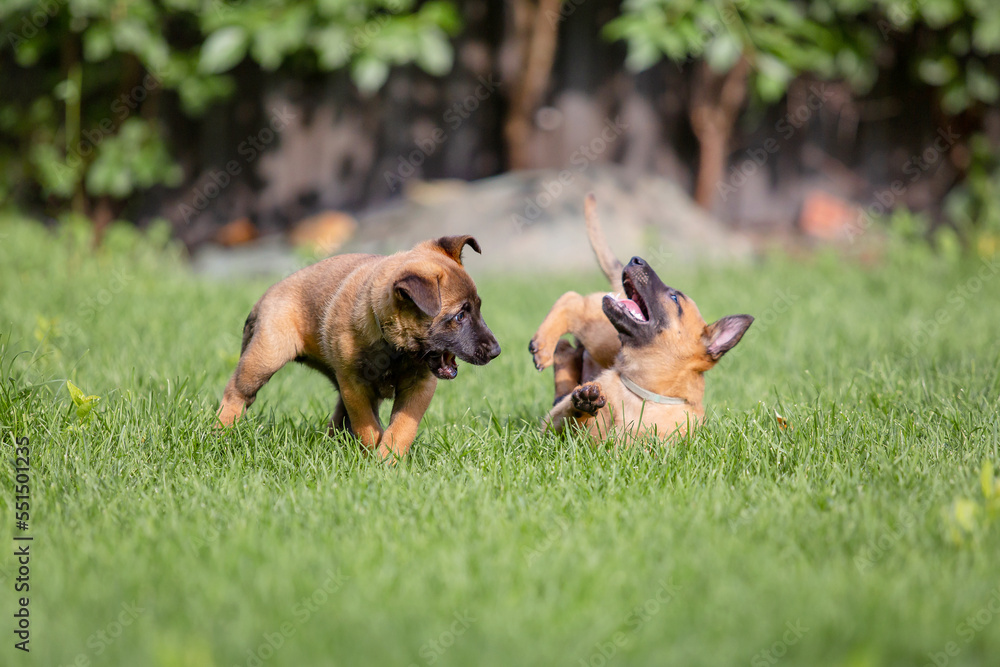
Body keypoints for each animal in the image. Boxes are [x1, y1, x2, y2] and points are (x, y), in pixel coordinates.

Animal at [218, 237, 500, 462]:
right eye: (460, 316)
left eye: (478, 308)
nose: (496, 351)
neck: (394, 349)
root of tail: (269, 293)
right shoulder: (355, 387)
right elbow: (368, 429)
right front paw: (377, 459)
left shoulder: (419, 387)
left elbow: (402, 428)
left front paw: (388, 459)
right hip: (266, 358)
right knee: (237, 393)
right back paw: (221, 433)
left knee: (338, 419)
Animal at [532, 194, 752, 444]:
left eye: (674, 297)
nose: (636, 259)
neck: (644, 393)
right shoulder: (551, 430)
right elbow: (569, 416)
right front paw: (584, 402)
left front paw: (586, 400)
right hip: (602, 338)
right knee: (573, 302)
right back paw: (543, 345)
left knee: (568, 346)